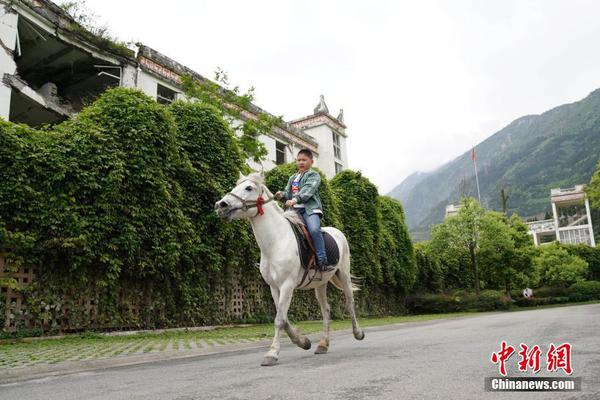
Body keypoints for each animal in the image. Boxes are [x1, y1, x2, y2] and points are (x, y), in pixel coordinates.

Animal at [216, 172, 366, 366]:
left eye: (249, 188)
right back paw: (322, 345)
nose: (221, 205)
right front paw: (304, 342)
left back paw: (358, 333)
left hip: (344, 275)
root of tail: (337, 232)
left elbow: (280, 319)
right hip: (320, 284)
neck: (276, 242)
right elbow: (284, 318)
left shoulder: (287, 285)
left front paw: (272, 353)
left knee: (350, 303)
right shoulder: (274, 287)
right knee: (326, 310)